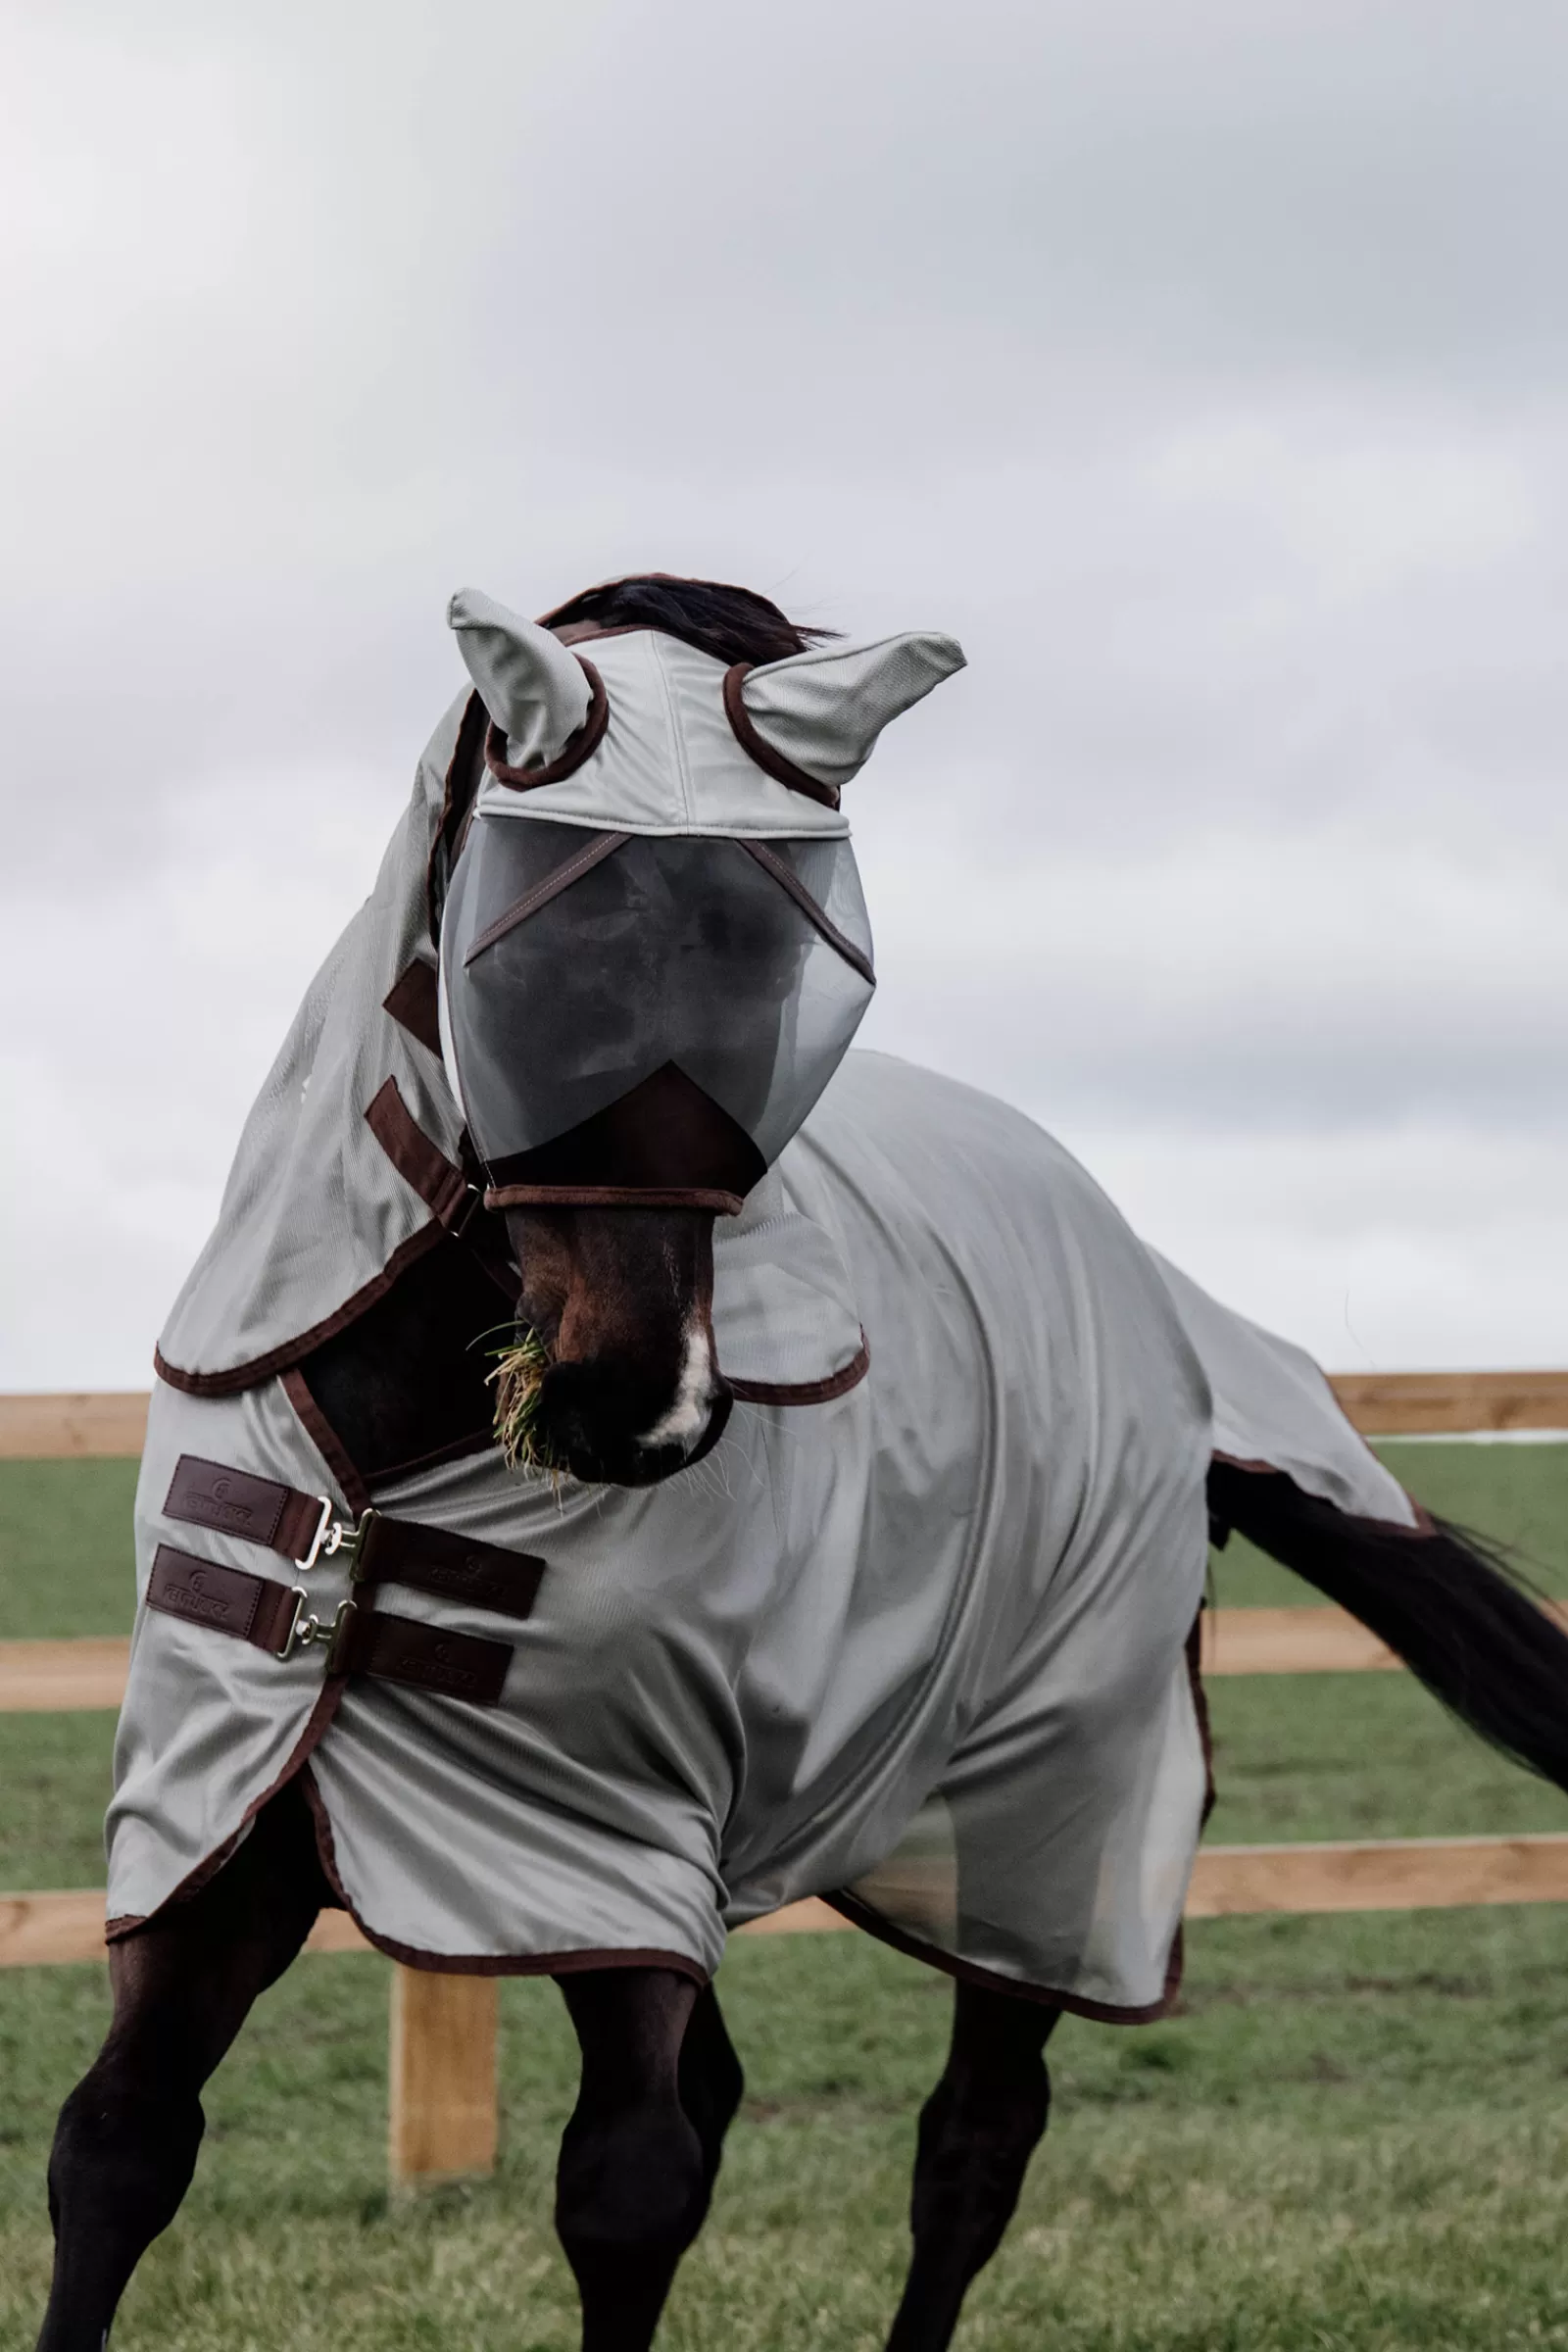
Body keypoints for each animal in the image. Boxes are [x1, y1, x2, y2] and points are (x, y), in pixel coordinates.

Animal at [33, 573, 1568, 2352]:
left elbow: (627, 2194)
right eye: (536, 951)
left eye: (783, 983)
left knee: (973, 2141)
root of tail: (1157, 1299)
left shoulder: (612, 1853)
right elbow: (120, 2147)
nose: (640, 1407)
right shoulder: (234, 1826)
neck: (398, 1476)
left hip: (1053, 1811)